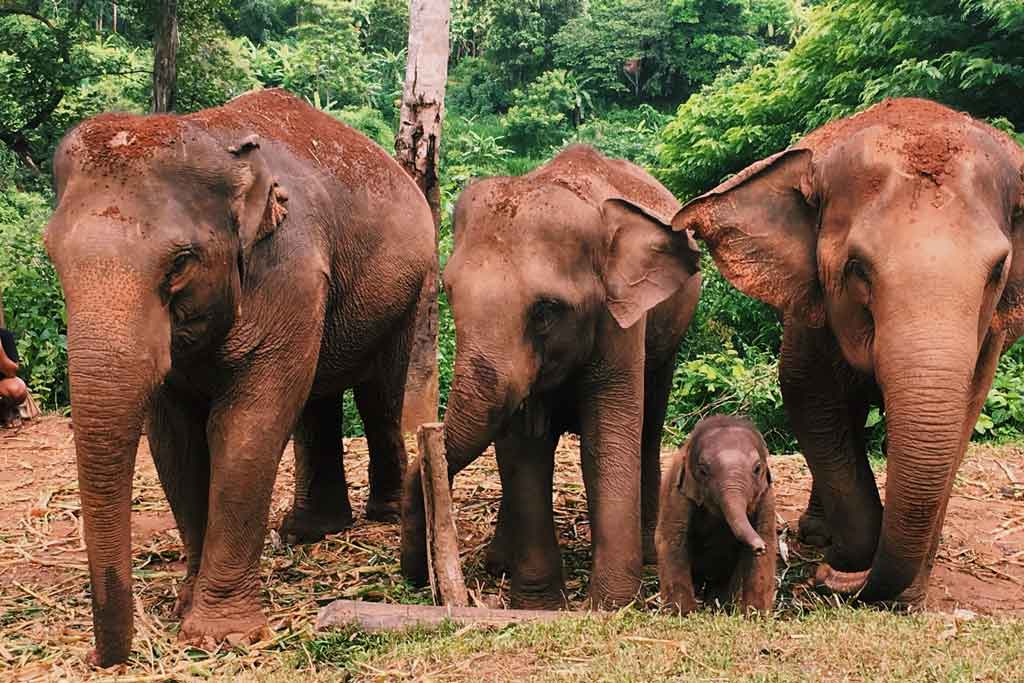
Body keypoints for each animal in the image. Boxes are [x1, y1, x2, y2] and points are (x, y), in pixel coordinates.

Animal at [43, 88, 436, 663]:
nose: (104, 658)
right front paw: (185, 609)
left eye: (180, 263)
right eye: (52, 255)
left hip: (410, 290)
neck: (214, 140)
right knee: (316, 400)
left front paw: (220, 636)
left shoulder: (290, 269)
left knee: (378, 394)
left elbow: (248, 424)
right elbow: (175, 439)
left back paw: (381, 514)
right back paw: (307, 532)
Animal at [395, 144, 700, 610]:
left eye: (545, 310)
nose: (415, 575)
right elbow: (525, 446)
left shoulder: (621, 324)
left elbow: (606, 441)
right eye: (449, 292)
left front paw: (609, 606)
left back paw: (648, 553)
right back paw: (498, 564)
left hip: (669, 336)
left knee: (648, 426)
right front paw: (539, 606)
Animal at [655, 413, 774, 618]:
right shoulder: (677, 493)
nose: (759, 547)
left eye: (757, 469)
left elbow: (767, 539)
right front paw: (684, 614)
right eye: (703, 470)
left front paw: (755, 616)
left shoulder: (766, 496)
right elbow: (672, 538)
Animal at [671, 98, 1024, 606]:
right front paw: (847, 560)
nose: (823, 578)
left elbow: (964, 415)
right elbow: (810, 398)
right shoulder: (810, 308)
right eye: (857, 267)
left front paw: (905, 595)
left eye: (997, 270)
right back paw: (817, 535)